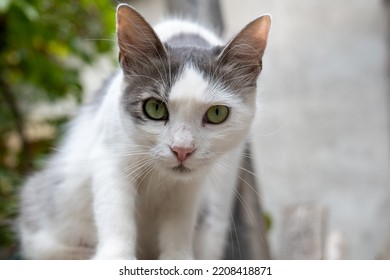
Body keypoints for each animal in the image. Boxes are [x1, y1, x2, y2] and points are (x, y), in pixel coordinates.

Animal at [18, 3, 272, 260]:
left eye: (217, 113)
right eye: (155, 108)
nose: (182, 149)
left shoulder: (192, 184)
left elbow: (179, 220)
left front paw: (177, 257)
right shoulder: (111, 155)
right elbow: (115, 209)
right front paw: (116, 257)